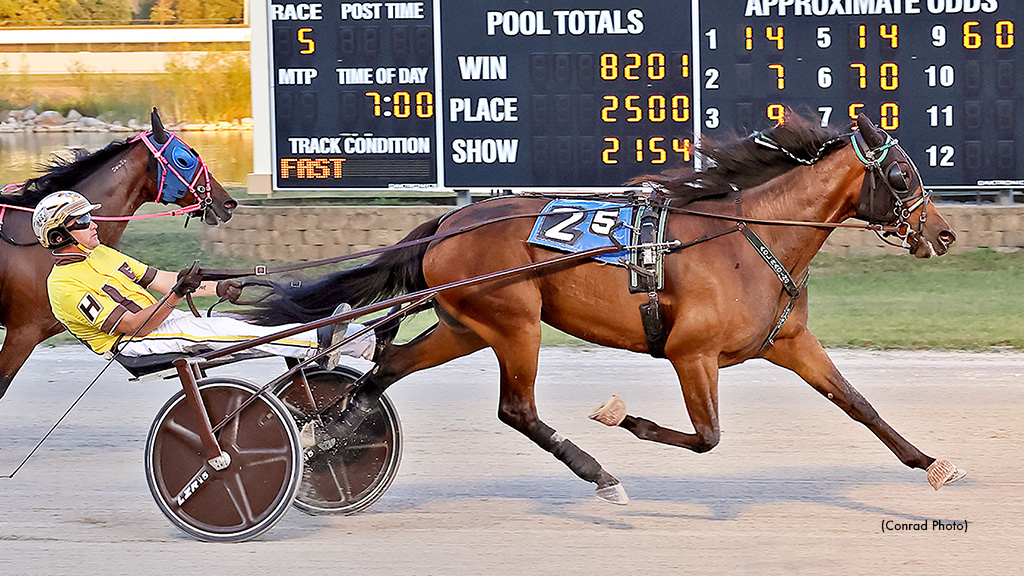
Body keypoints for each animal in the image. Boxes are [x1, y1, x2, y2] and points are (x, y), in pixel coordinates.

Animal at [248, 112, 964, 502]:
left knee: (384, 371)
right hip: (514, 323)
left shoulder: (790, 344)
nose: (943, 233)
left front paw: (931, 463)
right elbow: (707, 436)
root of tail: (449, 221)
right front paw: (624, 418)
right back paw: (599, 472)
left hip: (465, 326)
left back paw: (331, 435)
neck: (746, 239)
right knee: (515, 410)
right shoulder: (690, 353)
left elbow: (860, 405)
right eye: (901, 175)